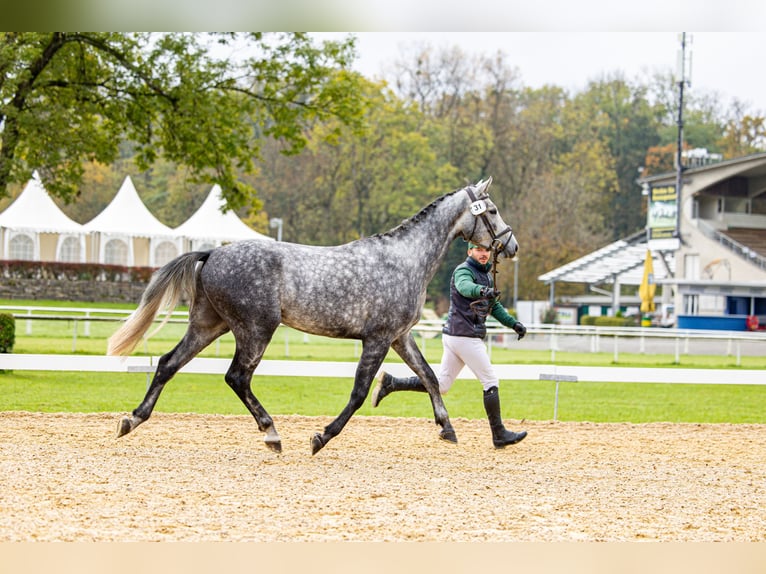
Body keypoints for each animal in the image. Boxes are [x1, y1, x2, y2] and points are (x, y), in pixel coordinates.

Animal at [108, 177, 519, 455]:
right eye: (493, 211)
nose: (512, 245)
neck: (405, 260)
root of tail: (212, 253)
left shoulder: (400, 336)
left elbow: (429, 376)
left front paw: (446, 428)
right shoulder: (377, 339)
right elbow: (359, 393)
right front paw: (321, 436)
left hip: (209, 325)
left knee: (168, 363)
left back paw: (131, 419)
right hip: (255, 330)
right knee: (237, 377)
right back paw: (271, 433)